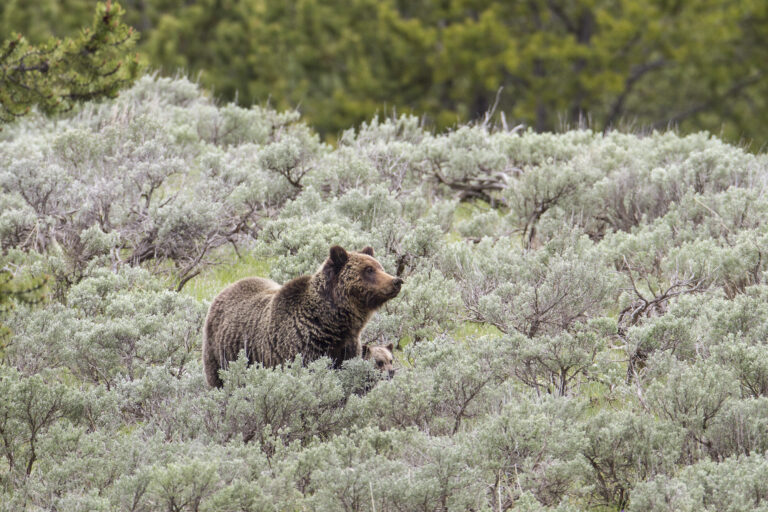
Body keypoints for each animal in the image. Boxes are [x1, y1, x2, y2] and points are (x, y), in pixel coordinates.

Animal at [202, 245, 403, 387]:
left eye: (379, 266)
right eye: (368, 269)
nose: (397, 281)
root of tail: (225, 290)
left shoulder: (346, 348)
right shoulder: (298, 348)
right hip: (221, 354)